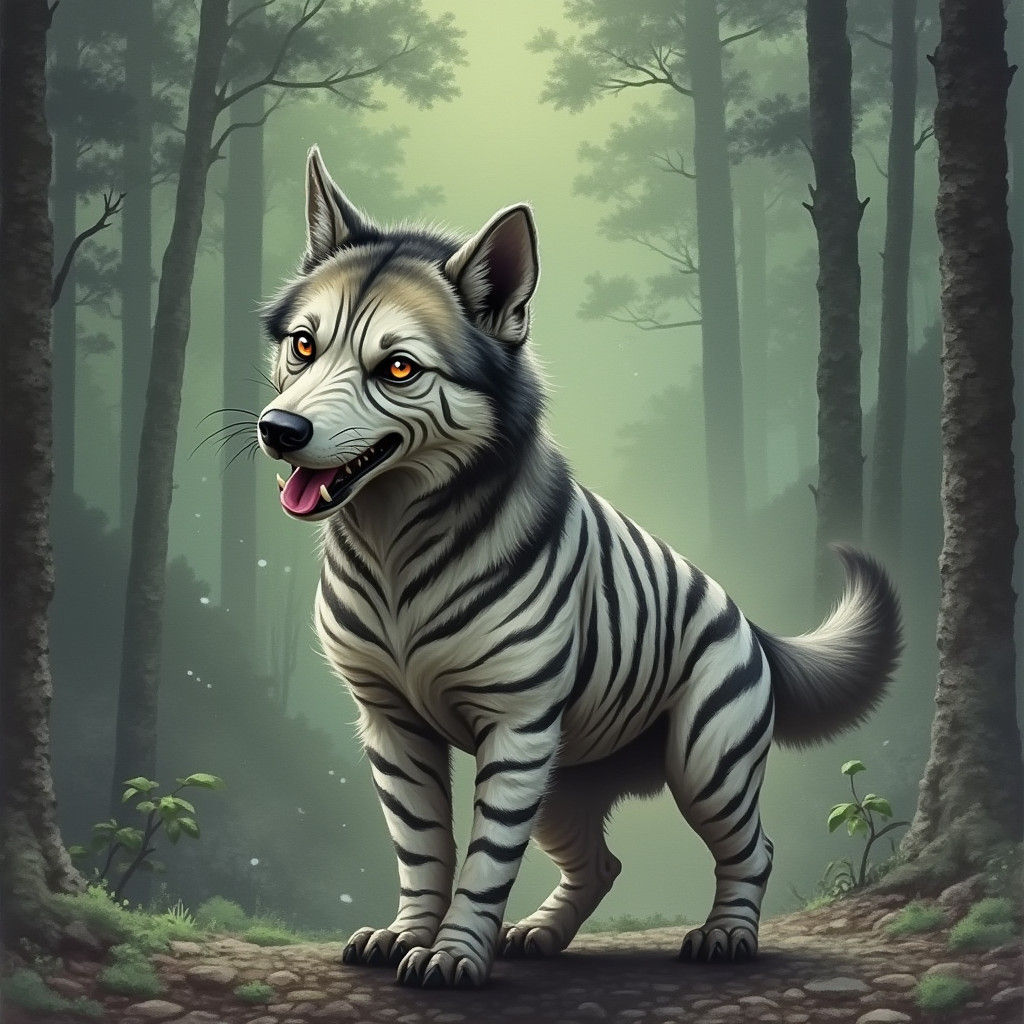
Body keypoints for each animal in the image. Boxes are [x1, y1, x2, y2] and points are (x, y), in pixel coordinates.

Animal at [255, 146, 902, 990]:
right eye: (303, 345)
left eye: (397, 369)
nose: (278, 430)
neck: (396, 542)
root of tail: (750, 620)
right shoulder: (392, 726)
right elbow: (423, 850)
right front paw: (406, 936)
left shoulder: (516, 727)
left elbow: (484, 860)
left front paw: (452, 956)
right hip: (563, 787)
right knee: (602, 864)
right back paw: (536, 934)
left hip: (704, 768)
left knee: (753, 849)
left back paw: (725, 936)